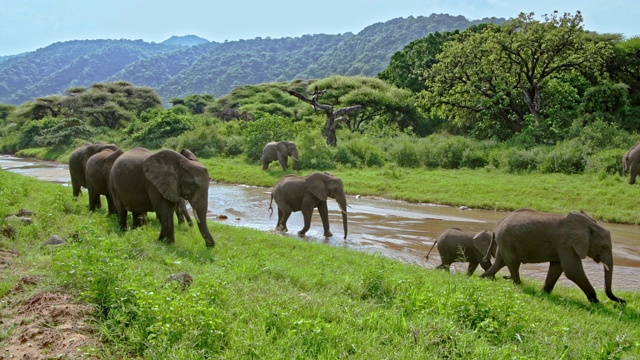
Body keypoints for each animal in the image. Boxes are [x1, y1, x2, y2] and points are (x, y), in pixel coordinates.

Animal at [480, 208, 624, 304]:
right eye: (604, 246)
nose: (623, 302)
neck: (588, 225)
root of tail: (497, 225)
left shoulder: (563, 246)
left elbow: (557, 268)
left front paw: (544, 293)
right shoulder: (567, 243)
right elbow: (572, 271)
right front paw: (597, 303)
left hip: (504, 240)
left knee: (501, 262)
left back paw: (483, 278)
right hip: (506, 239)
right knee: (513, 262)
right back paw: (518, 286)